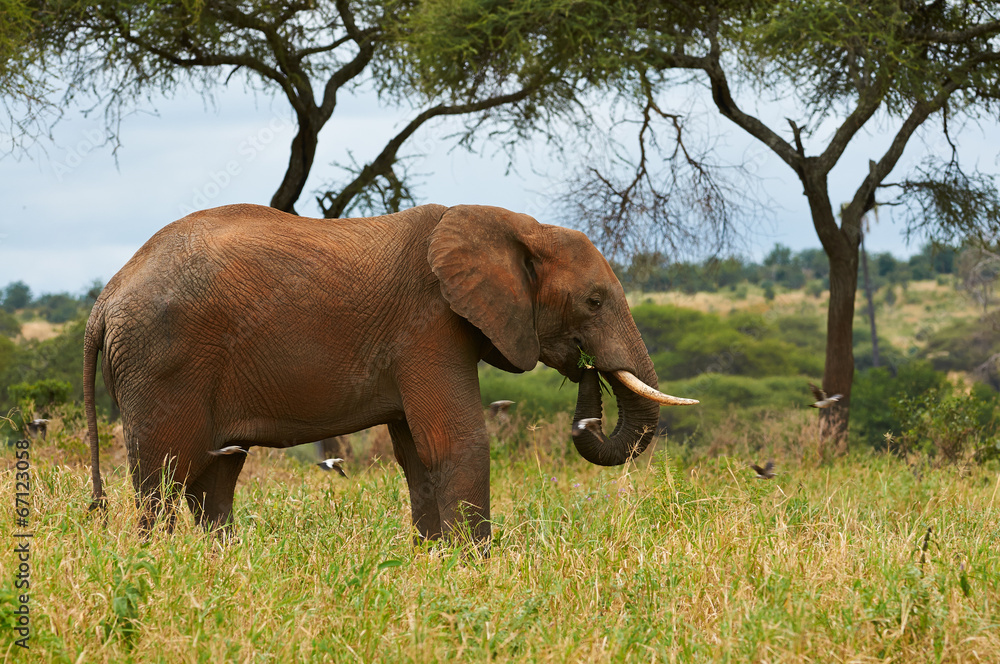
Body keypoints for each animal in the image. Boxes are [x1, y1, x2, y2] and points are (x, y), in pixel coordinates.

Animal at [83, 203, 697, 544]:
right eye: (594, 300)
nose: (587, 368)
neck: (515, 225)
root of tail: (104, 300)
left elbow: (418, 456)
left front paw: (434, 560)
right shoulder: (429, 327)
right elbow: (457, 441)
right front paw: (478, 568)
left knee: (215, 477)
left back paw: (222, 562)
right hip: (161, 363)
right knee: (166, 475)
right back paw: (160, 561)